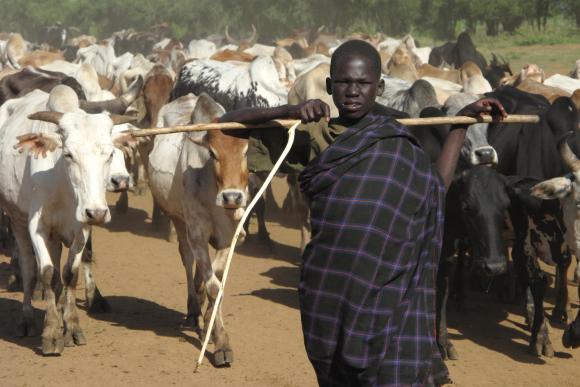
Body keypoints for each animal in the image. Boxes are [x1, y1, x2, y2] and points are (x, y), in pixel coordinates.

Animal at [0, 84, 137, 354]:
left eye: (110, 153)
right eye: (69, 154)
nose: (98, 212)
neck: (63, 184)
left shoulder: (81, 228)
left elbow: (69, 273)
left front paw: (71, 325)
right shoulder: (37, 227)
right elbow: (46, 272)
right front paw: (51, 332)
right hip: (17, 219)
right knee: (29, 267)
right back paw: (26, 319)